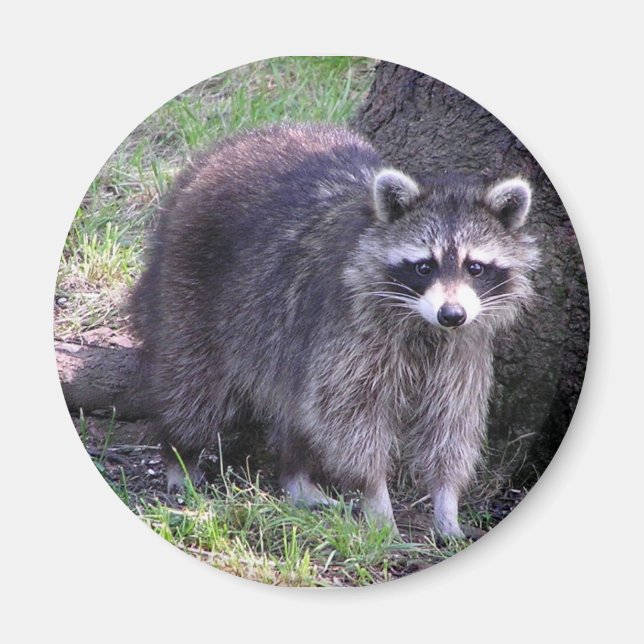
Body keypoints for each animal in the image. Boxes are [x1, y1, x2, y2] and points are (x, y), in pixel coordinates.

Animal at [130, 123, 539, 538]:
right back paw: (181, 453)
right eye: (424, 266)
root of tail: (220, 153)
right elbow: (349, 419)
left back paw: (296, 476)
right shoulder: (351, 331)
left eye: (475, 267)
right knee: (194, 386)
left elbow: (452, 422)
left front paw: (447, 501)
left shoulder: (462, 347)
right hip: (190, 289)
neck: (421, 324)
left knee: (295, 408)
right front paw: (377, 498)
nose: (451, 314)